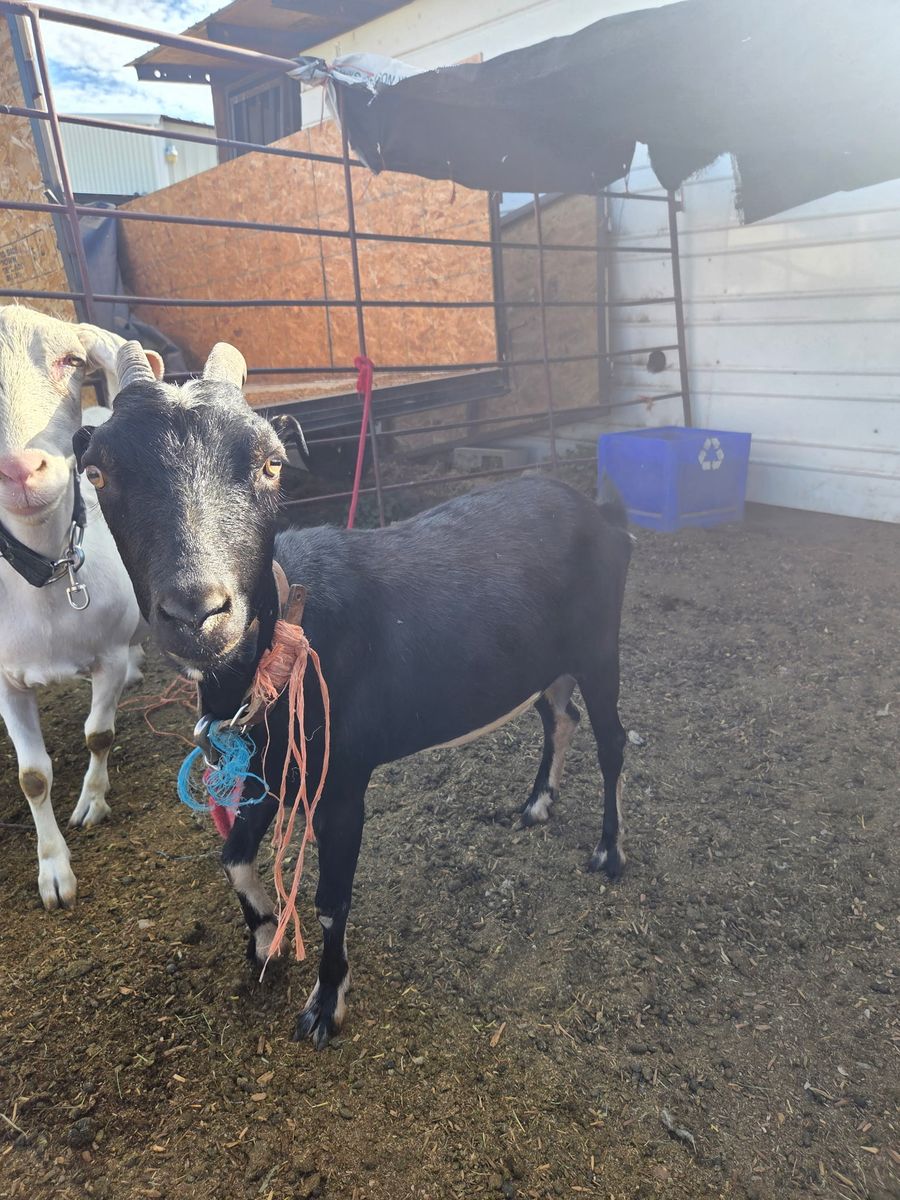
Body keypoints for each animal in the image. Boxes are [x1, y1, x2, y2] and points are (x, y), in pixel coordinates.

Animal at [0, 306, 163, 908]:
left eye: (71, 360)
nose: (20, 469)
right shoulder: (5, 681)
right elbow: (32, 777)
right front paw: (53, 871)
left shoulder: (107, 656)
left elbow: (99, 734)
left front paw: (93, 802)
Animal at [76, 340, 632, 1048]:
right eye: (97, 473)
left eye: (271, 464)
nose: (198, 612)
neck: (288, 638)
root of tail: (601, 516)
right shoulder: (267, 770)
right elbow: (232, 856)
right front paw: (263, 935)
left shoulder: (340, 780)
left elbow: (330, 900)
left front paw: (324, 1005)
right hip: (548, 660)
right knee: (560, 717)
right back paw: (536, 805)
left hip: (600, 645)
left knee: (612, 739)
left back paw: (610, 851)